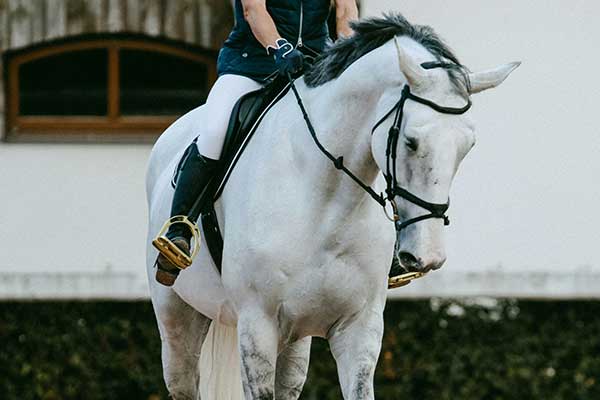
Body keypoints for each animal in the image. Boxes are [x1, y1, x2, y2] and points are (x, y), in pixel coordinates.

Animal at [144, 14, 516, 398]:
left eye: (467, 145)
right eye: (411, 141)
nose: (427, 256)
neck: (328, 203)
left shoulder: (360, 327)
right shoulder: (257, 324)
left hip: (294, 340)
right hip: (178, 320)